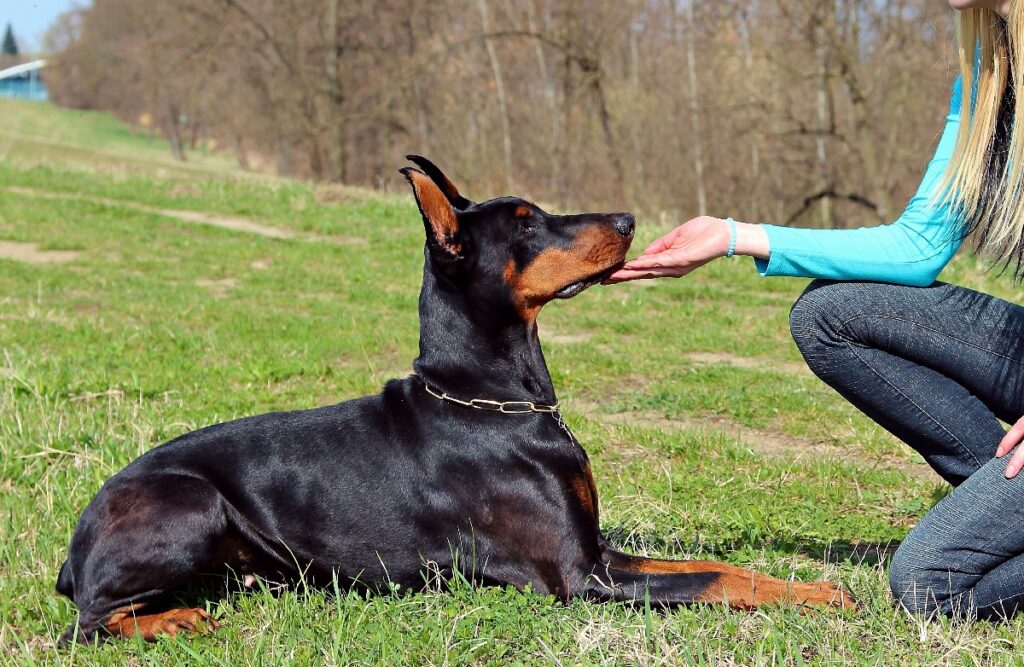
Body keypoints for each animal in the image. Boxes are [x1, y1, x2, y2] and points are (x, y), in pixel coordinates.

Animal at [56, 156, 856, 647]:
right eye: (527, 221)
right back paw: (173, 620)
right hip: (191, 502)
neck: (491, 399)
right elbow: (713, 578)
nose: (629, 219)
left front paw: (820, 589)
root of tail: (74, 548)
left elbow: (724, 569)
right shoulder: (579, 577)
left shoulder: (597, 549)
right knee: (86, 622)